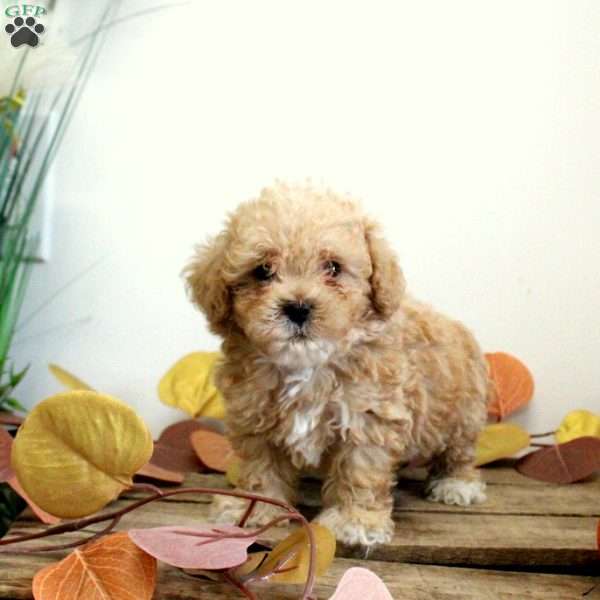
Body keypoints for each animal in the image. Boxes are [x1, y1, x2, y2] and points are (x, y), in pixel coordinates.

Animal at [185, 180, 490, 548]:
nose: (298, 307)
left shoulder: (369, 417)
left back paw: (456, 484)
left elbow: (360, 471)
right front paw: (255, 509)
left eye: (333, 268)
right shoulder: (256, 415)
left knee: (460, 451)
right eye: (262, 271)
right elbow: (261, 467)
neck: (309, 364)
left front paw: (354, 520)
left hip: (463, 413)